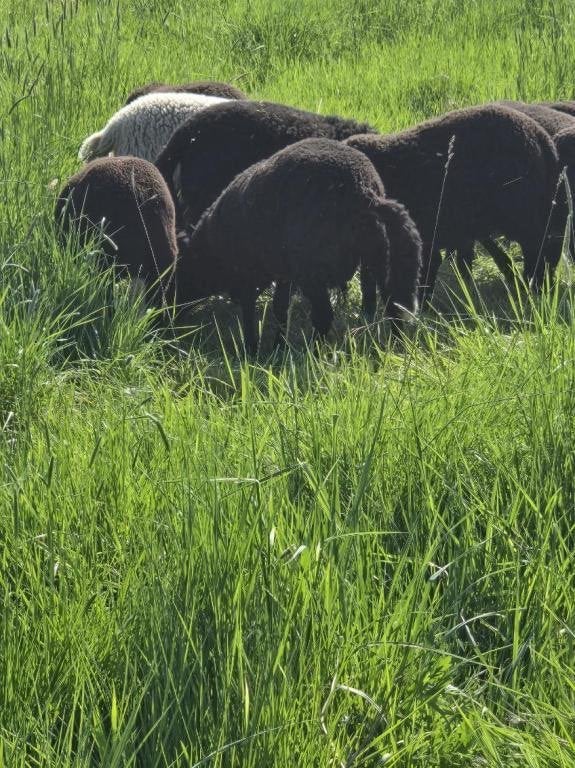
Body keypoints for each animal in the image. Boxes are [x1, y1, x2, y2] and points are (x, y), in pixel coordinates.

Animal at [176, 138, 422, 355]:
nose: (173, 319)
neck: (210, 248)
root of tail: (366, 192)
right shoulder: (283, 273)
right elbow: (279, 308)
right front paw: (278, 347)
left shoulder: (247, 275)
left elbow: (249, 313)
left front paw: (251, 351)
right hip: (377, 257)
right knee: (392, 305)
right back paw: (397, 348)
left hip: (312, 269)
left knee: (324, 315)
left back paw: (312, 353)